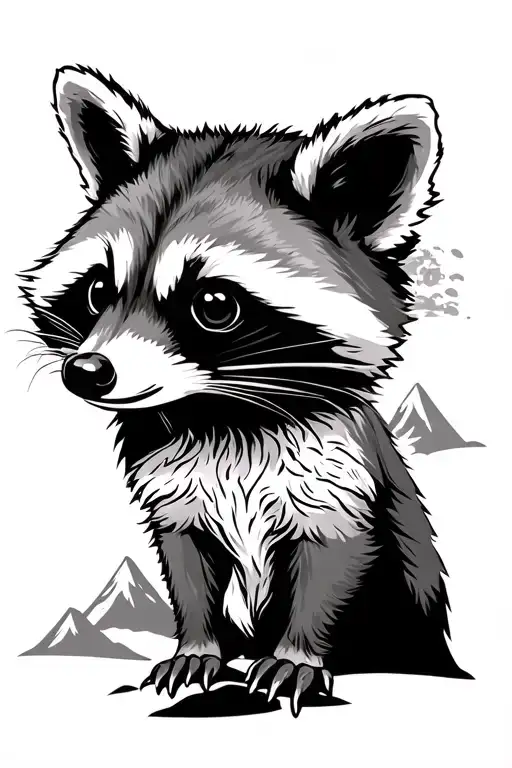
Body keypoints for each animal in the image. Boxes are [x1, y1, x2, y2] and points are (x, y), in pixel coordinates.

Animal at [21, 65, 471, 716]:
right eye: (99, 290)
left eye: (214, 304)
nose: (86, 371)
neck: (224, 415)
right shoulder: (175, 491)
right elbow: (187, 566)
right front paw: (197, 645)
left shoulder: (338, 480)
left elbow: (331, 562)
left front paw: (298, 654)